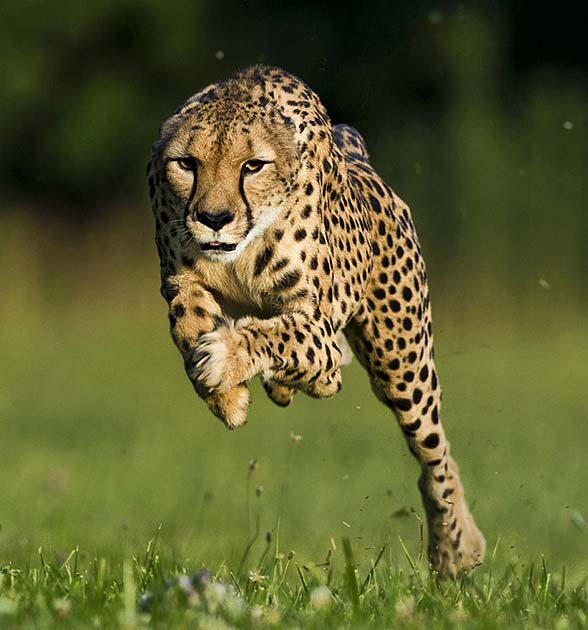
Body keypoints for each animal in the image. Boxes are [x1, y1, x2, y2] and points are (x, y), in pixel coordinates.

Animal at [148, 64, 486, 576]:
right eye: (187, 164)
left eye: (253, 166)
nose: (213, 217)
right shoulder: (180, 279)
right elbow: (187, 320)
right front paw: (227, 397)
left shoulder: (317, 325)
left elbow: (279, 336)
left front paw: (225, 359)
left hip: (401, 363)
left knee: (435, 453)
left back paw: (455, 548)